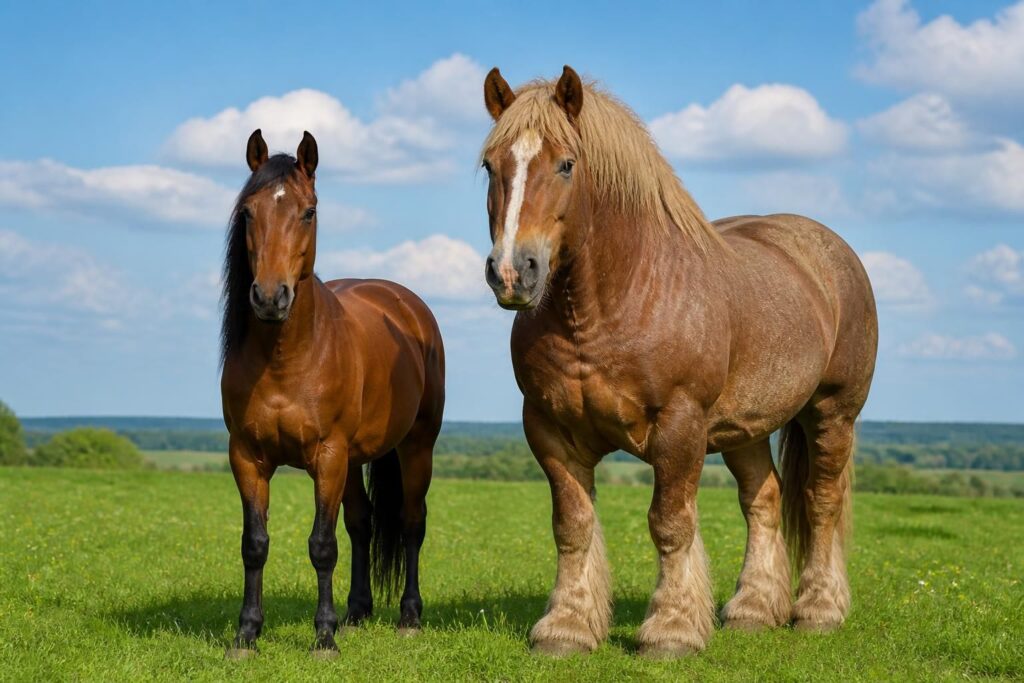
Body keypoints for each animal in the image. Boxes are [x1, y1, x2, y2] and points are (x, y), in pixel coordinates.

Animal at [219, 130, 445, 658]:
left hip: (415, 447)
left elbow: (322, 545)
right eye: (248, 213)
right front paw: (247, 634)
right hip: (355, 459)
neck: (286, 359)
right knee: (362, 525)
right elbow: (254, 544)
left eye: (308, 211)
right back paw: (357, 613)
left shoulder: (327, 456)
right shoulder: (247, 457)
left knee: (411, 522)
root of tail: (406, 304)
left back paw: (408, 616)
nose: (269, 297)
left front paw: (322, 637)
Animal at [479, 66, 877, 658]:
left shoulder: (680, 426)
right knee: (764, 500)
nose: (512, 272)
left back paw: (819, 610)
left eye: (566, 163)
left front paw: (671, 629)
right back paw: (753, 609)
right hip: (745, 427)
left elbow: (670, 524)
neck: (610, 304)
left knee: (821, 501)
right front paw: (567, 626)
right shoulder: (549, 430)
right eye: (491, 165)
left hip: (832, 413)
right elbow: (572, 526)